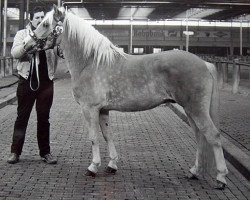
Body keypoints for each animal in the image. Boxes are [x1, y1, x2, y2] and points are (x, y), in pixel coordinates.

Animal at [35, 4, 229, 189]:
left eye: (45, 24)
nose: (30, 43)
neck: (91, 62)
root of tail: (204, 63)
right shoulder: (103, 110)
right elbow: (107, 135)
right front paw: (112, 165)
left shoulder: (89, 109)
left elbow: (94, 137)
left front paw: (93, 167)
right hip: (190, 111)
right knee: (200, 137)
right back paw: (194, 171)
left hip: (196, 110)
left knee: (213, 136)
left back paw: (220, 178)